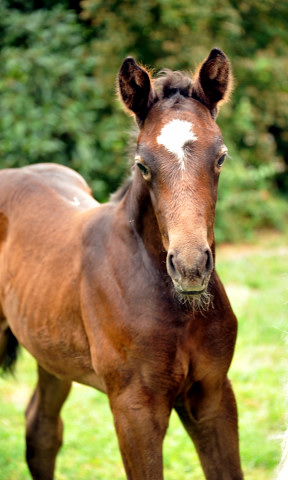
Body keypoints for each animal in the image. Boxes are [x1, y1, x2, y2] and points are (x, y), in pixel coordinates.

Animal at [0, 48, 243, 480]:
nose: (190, 267)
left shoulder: (213, 394)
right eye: (143, 164)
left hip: (51, 353)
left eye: (221, 157)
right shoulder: (134, 408)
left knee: (41, 429)